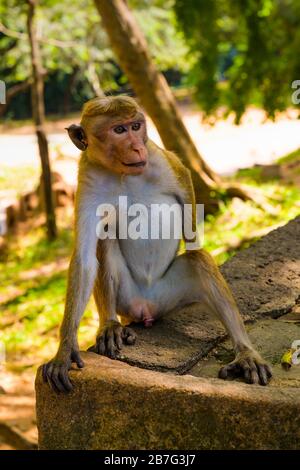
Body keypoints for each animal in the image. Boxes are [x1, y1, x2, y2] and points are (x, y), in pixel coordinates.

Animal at [41, 95, 272, 392]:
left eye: (136, 126)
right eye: (119, 130)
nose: (136, 147)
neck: (121, 173)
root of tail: (147, 308)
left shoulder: (158, 158)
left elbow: (185, 181)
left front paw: (193, 239)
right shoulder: (87, 176)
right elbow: (84, 260)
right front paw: (65, 348)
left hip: (171, 295)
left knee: (198, 261)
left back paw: (245, 353)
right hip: (128, 299)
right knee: (105, 238)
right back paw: (110, 324)